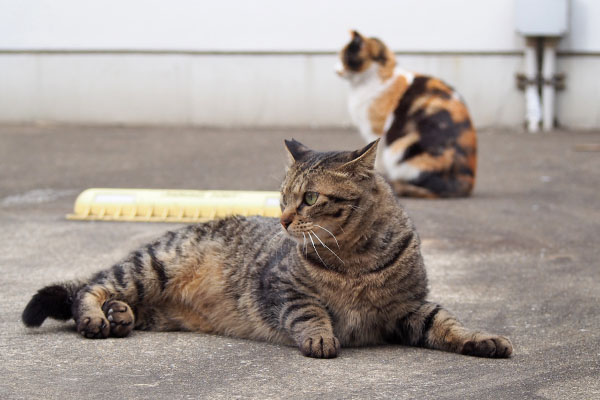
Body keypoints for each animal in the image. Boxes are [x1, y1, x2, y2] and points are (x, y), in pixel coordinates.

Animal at [23, 139, 510, 358]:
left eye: (310, 198)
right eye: (282, 198)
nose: (283, 220)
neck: (354, 259)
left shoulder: (410, 307)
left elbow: (447, 323)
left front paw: (481, 339)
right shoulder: (282, 287)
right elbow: (309, 311)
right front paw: (320, 336)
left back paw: (119, 315)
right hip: (151, 266)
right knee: (89, 287)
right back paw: (97, 317)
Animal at [338, 30, 478, 198]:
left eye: (345, 57)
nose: (336, 69)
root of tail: (468, 182)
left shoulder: (376, 129)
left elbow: (377, 156)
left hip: (402, 148)